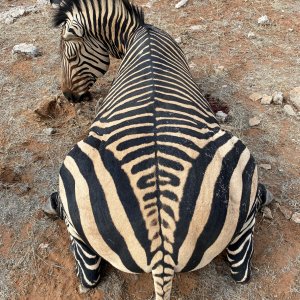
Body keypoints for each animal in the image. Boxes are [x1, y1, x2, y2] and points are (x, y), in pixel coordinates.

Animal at [45, 1, 274, 298]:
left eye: (70, 56)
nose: (69, 97)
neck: (142, 31)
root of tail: (161, 256)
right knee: (241, 272)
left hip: (72, 178)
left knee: (86, 277)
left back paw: (52, 204)